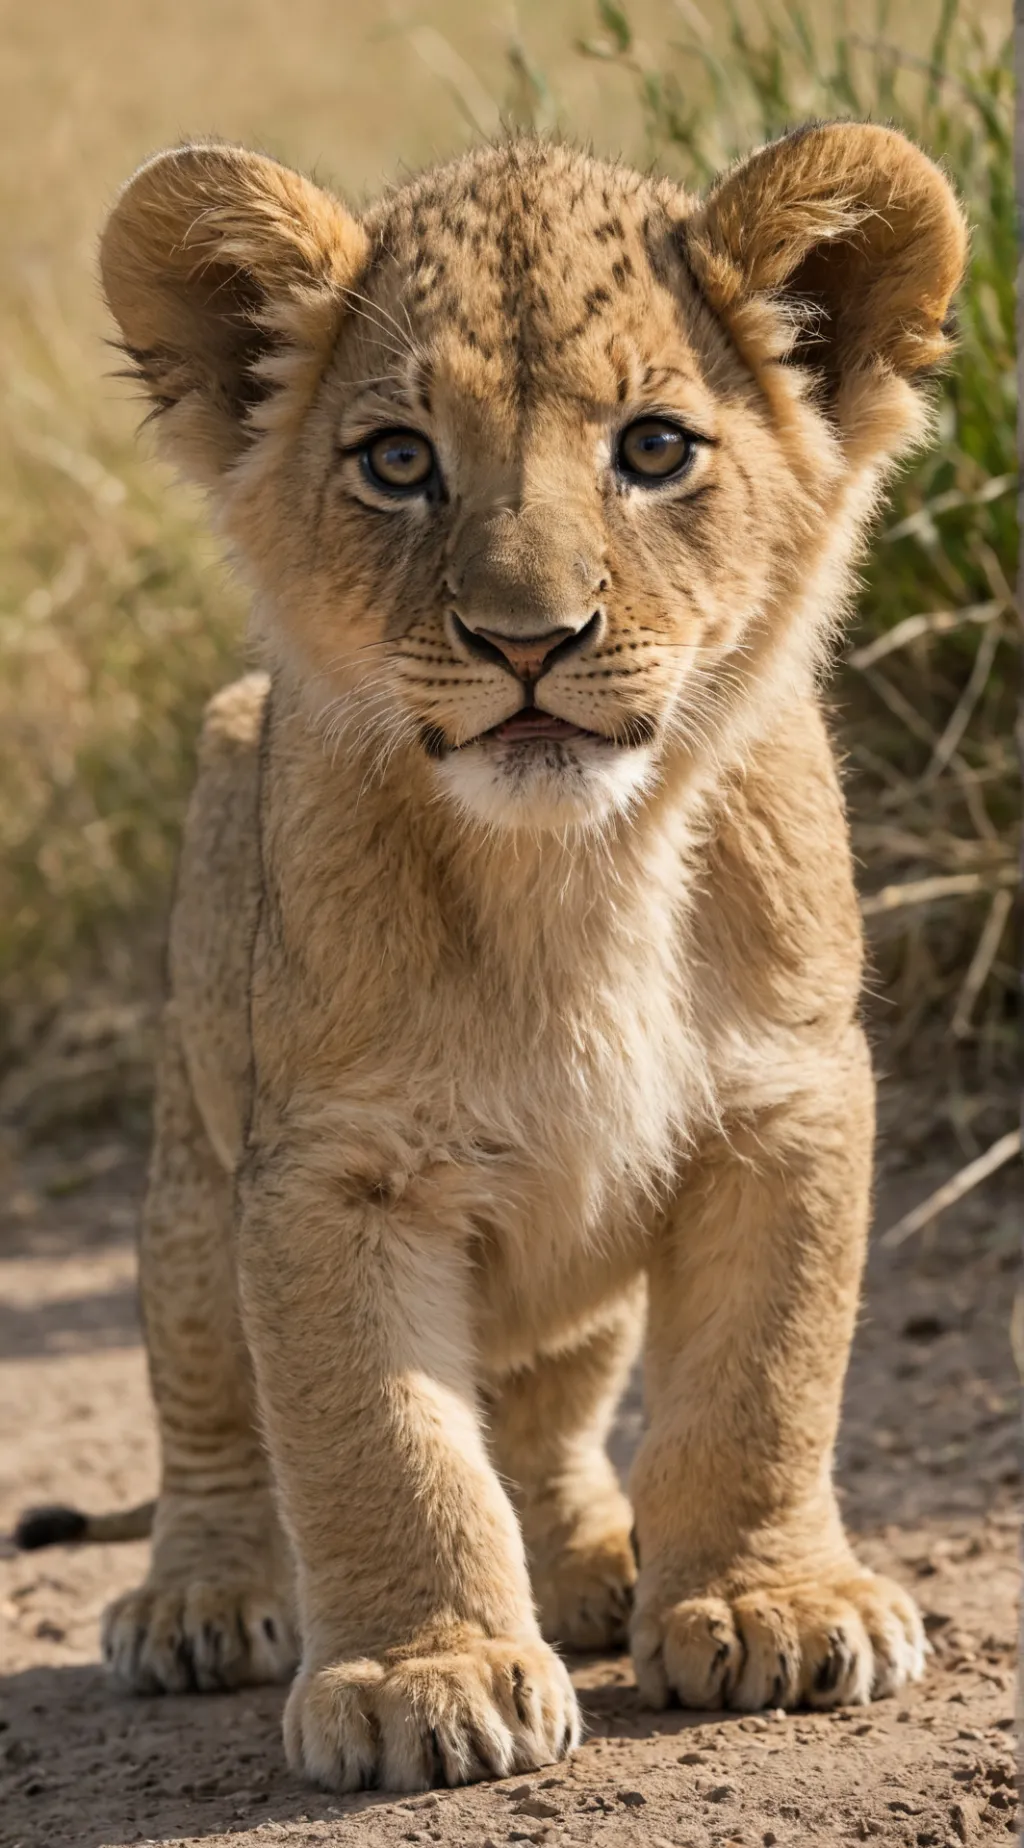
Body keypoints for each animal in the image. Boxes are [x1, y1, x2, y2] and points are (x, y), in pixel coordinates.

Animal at [20, 127, 965, 1792]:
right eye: (399, 462)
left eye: (654, 449)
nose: (530, 637)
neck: (571, 874)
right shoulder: (329, 1172)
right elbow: (380, 1443)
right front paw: (424, 1676)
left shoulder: (789, 1101)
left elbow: (764, 1381)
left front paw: (771, 1604)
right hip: (194, 1197)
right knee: (212, 1414)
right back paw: (202, 1598)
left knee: (547, 1411)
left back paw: (594, 1560)